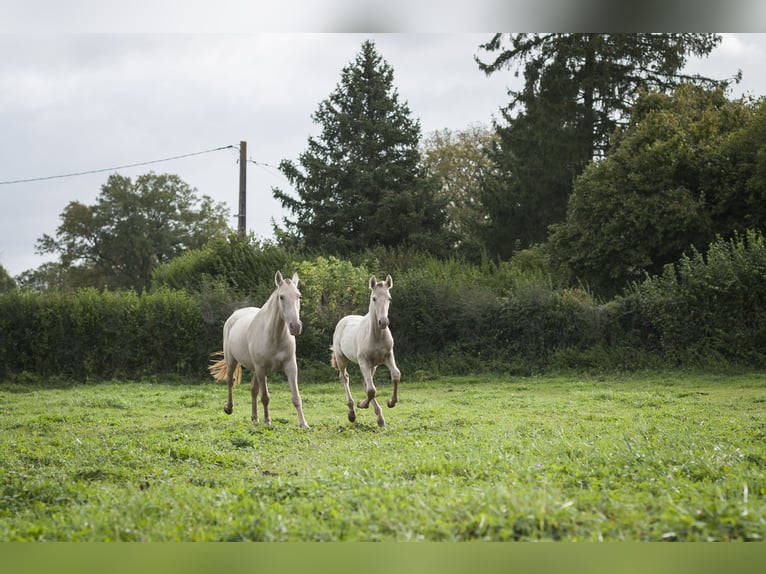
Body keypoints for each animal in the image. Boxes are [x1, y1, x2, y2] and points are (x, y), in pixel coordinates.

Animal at [212, 272, 310, 430]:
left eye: (299, 296)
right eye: (281, 297)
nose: (295, 326)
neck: (274, 336)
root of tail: (234, 315)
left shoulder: (290, 366)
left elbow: (296, 397)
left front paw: (304, 424)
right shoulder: (261, 369)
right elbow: (265, 397)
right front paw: (268, 421)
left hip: (255, 369)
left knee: (253, 389)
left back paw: (254, 418)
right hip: (233, 361)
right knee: (230, 381)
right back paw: (229, 408)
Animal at [330, 274, 402, 428]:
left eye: (389, 298)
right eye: (374, 298)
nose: (383, 322)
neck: (376, 335)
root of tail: (343, 320)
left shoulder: (388, 356)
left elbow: (395, 375)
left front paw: (391, 402)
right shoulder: (363, 361)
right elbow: (371, 390)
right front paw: (362, 405)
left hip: (373, 365)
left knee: (365, 382)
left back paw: (380, 418)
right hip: (342, 359)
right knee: (344, 378)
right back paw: (352, 412)